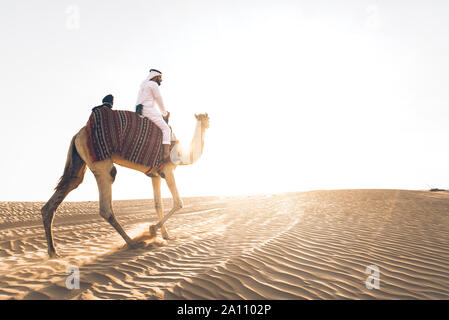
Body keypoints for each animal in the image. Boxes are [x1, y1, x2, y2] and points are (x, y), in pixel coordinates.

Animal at [41, 112, 209, 258]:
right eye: (206, 118)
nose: (208, 123)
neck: (182, 155)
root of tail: (77, 134)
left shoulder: (155, 175)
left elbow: (158, 205)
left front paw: (165, 235)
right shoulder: (168, 170)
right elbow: (178, 202)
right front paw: (152, 230)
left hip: (78, 160)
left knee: (67, 186)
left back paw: (53, 252)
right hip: (101, 162)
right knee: (106, 205)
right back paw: (133, 243)